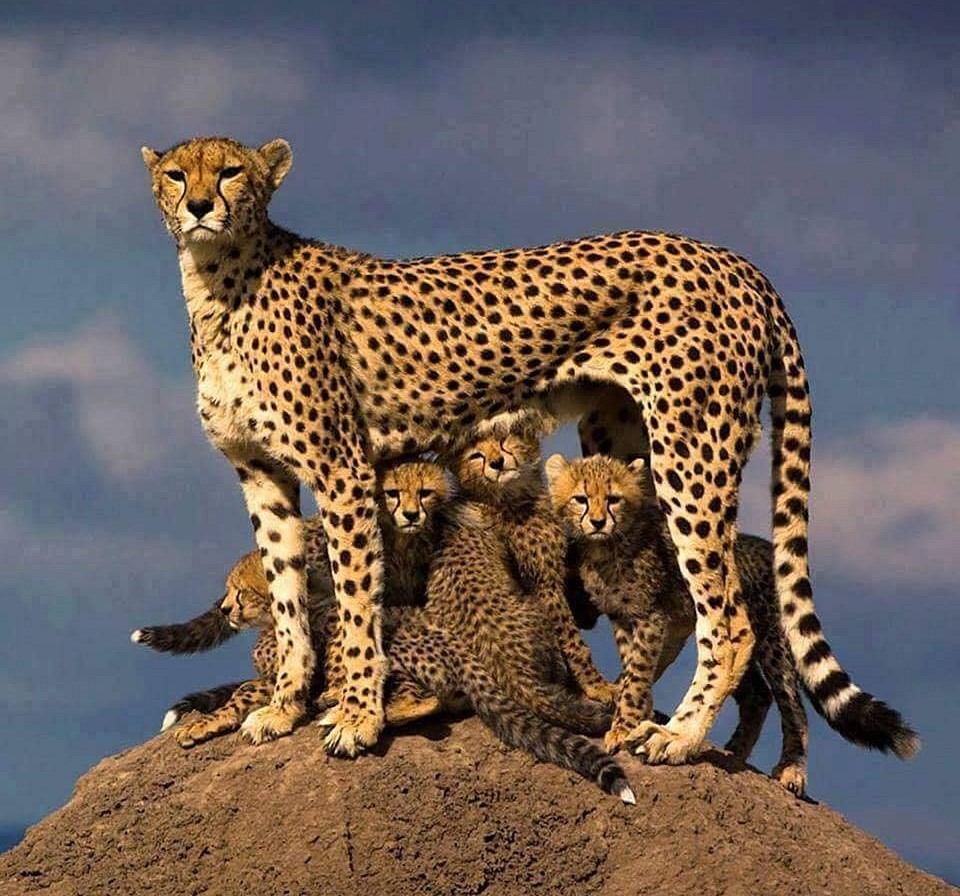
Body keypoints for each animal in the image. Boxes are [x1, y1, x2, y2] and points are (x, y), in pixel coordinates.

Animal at [142, 134, 818, 763]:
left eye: (231, 172)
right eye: (176, 174)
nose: (199, 206)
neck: (218, 281)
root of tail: (738, 262)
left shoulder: (342, 467)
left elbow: (356, 597)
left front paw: (358, 717)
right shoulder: (262, 473)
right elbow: (286, 597)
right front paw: (284, 707)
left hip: (692, 450)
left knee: (728, 619)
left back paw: (677, 735)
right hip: (622, 445)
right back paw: (629, 715)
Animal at [546, 453, 920, 795]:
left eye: (613, 499)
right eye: (581, 498)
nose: (597, 522)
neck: (605, 547)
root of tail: (768, 548)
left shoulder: (650, 617)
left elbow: (637, 674)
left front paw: (623, 727)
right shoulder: (624, 619)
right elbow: (631, 671)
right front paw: (629, 709)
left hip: (772, 643)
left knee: (792, 706)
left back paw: (790, 769)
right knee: (755, 693)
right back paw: (734, 753)